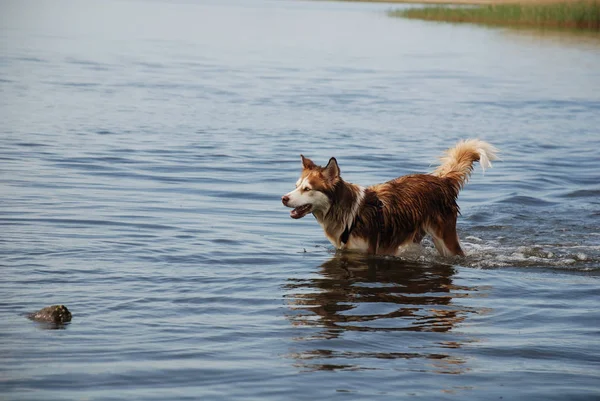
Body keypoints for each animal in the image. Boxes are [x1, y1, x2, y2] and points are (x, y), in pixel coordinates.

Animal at [282, 138, 496, 256]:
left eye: (307, 189)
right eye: (296, 186)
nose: (283, 198)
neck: (350, 213)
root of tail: (442, 181)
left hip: (446, 241)